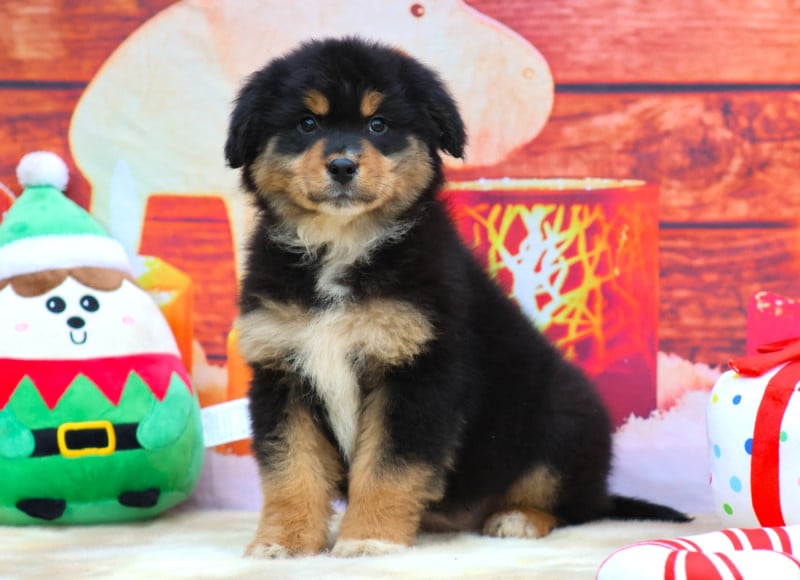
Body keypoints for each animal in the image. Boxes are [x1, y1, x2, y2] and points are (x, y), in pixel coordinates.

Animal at [225, 37, 689, 559]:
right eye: (307, 123)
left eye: (378, 124)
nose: (343, 165)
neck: (341, 246)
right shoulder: (282, 372)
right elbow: (290, 470)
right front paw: (283, 544)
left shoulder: (418, 373)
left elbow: (388, 466)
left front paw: (369, 540)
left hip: (559, 420)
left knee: (571, 504)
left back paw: (518, 519)